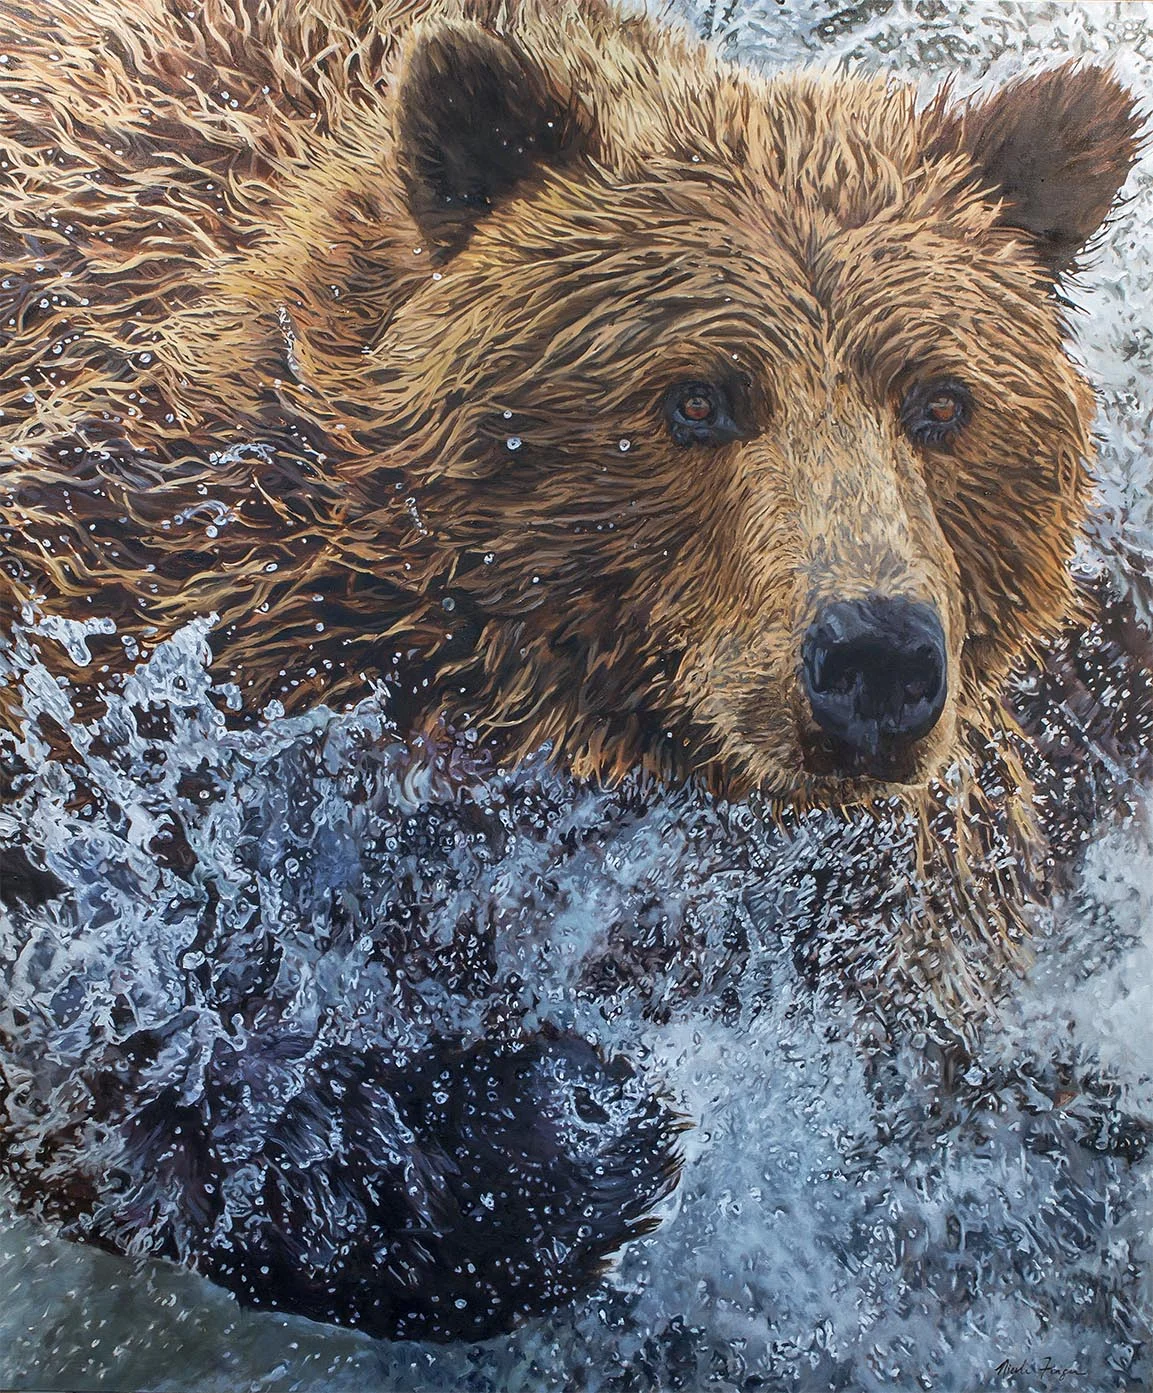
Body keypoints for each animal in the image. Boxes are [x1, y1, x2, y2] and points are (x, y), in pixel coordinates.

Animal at [1, 0, 1151, 1349]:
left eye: (940, 401)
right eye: (697, 397)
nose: (876, 656)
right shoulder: (164, 599)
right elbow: (101, 951)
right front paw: (565, 1131)